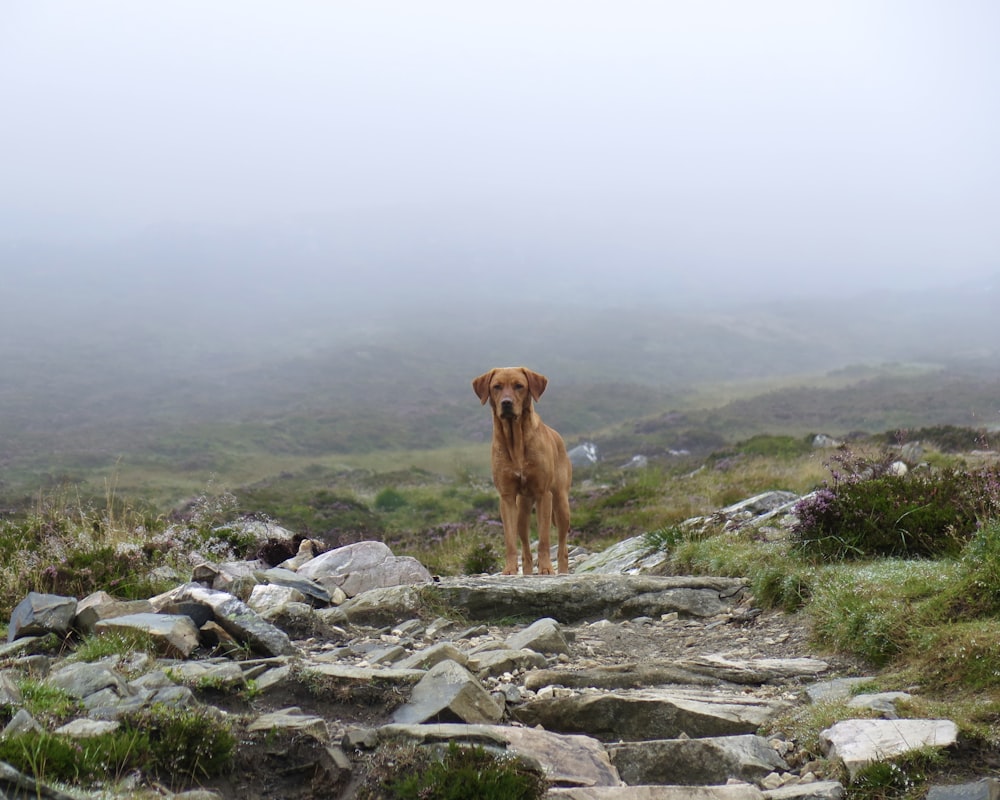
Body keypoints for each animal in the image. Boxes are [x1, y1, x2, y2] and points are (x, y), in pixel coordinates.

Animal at [470, 368, 572, 576]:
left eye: (519, 386)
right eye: (496, 387)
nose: (506, 403)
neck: (515, 439)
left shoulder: (543, 495)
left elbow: (543, 539)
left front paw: (546, 568)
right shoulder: (507, 497)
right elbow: (510, 541)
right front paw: (509, 569)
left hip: (561, 504)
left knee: (562, 546)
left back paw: (562, 571)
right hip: (522, 510)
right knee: (525, 547)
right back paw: (526, 572)